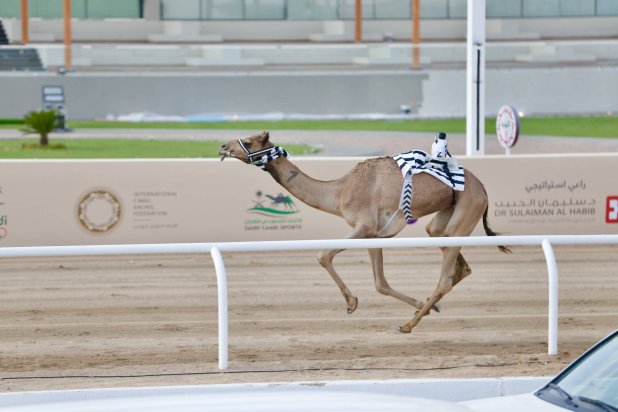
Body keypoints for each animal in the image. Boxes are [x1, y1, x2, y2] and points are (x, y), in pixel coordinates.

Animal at [217, 133, 506, 334]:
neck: (339, 191)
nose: (222, 147)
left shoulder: (364, 225)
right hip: (444, 219)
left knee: (445, 277)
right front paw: (429, 306)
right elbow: (381, 284)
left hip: (467, 208)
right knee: (454, 258)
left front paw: (351, 302)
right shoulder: (374, 233)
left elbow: (323, 255)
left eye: (249, 140)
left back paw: (408, 325)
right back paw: (427, 306)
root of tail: (484, 189)